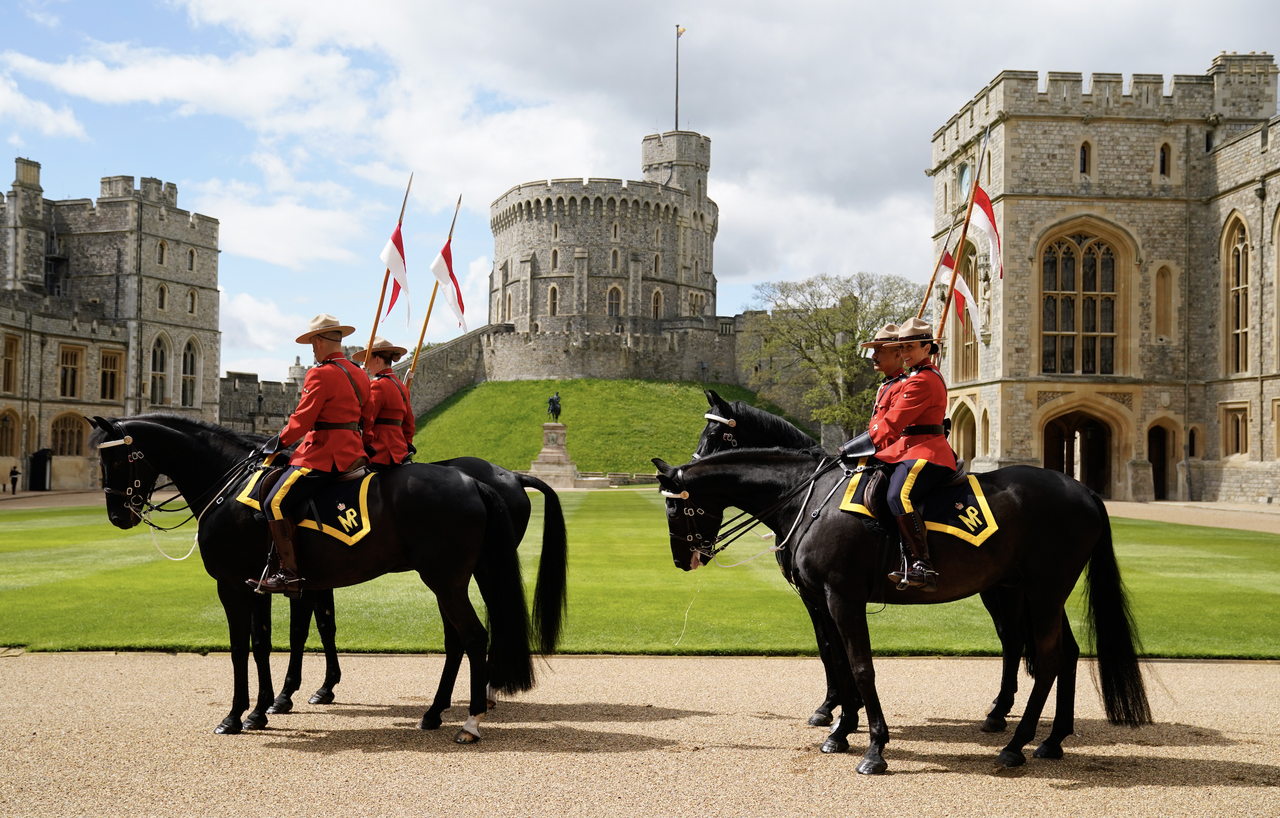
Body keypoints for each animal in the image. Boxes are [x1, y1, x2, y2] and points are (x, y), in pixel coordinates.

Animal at [270, 460, 565, 721]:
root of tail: (512, 476)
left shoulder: (305, 581)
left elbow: (299, 632)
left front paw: (286, 694)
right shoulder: (321, 579)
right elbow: (325, 626)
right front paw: (325, 687)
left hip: (463, 575)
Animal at [650, 448, 1152, 773]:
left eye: (675, 510)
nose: (681, 559)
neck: (811, 501)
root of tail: (1083, 490)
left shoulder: (841, 597)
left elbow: (860, 667)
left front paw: (873, 746)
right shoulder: (823, 600)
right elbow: (840, 663)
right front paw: (840, 729)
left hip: (1041, 592)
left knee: (1045, 659)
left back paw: (1016, 744)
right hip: (1035, 593)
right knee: (1063, 653)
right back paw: (1051, 739)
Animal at [696, 391, 1034, 737]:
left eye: (718, 435)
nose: (691, 469)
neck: (807, 497)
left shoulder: (831, 593)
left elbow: (839, 651)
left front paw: (845, 710)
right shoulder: (812, 595)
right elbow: (828, 648)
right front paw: (836, 706)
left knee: (1013, 638)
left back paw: (1001, 711)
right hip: (998, 586)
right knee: (1011, 637)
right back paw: (999, 708)